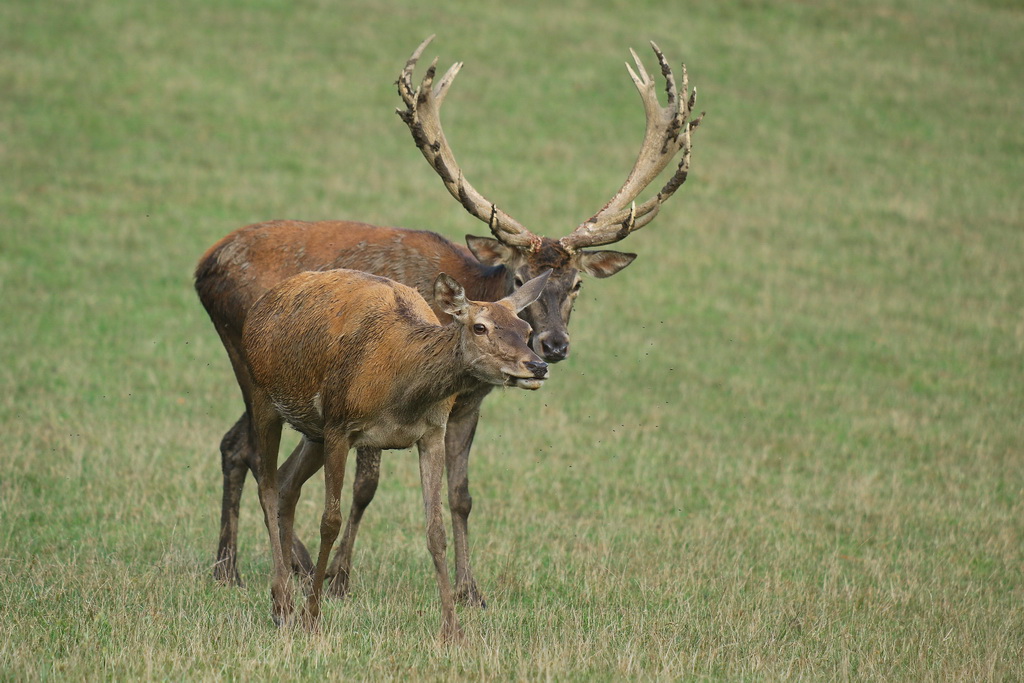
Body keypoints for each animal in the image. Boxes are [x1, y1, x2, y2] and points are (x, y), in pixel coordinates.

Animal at [241, 268, 552, 643]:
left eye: (526, 330)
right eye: (480, 327)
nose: (537, 365)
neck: (400, 393)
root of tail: (262, 303)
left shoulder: (433, 432)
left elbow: (436, 531)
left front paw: (452, 630)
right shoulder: (340, 426)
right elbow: (330, 522)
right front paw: (311, 618)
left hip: (312, 430)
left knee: (288, 484)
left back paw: (281, 600)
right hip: (262, 395)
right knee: (267, 486)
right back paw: (284, 604)